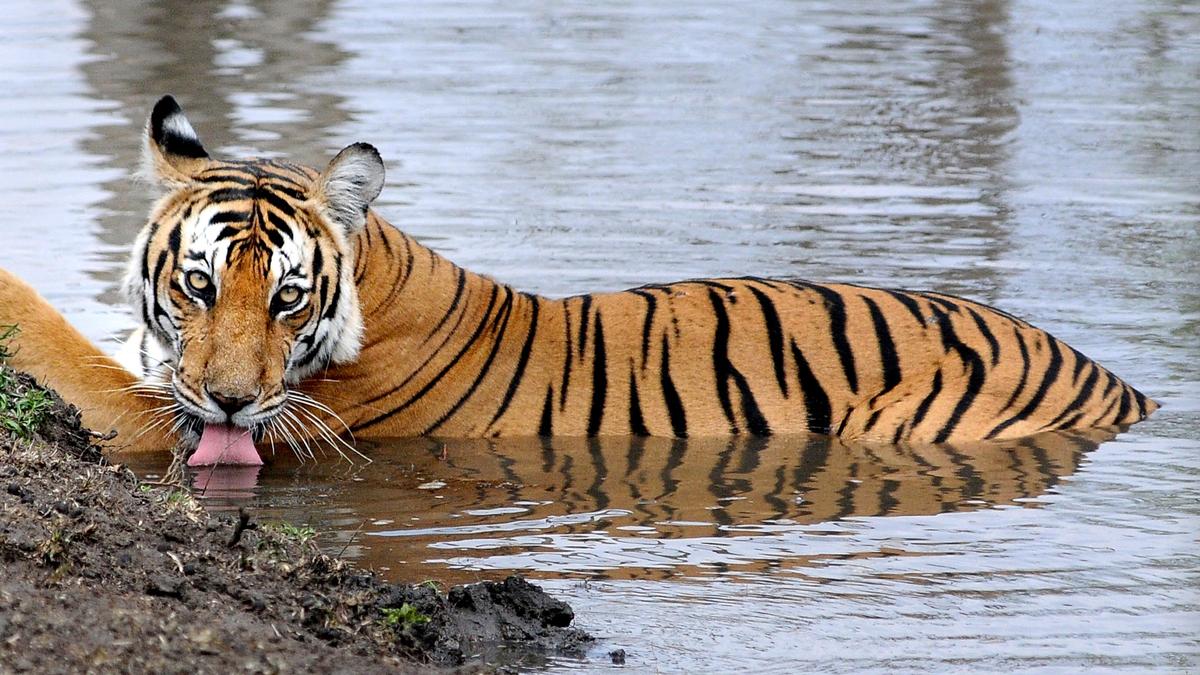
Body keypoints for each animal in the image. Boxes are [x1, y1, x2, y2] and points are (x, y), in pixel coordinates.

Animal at [0, 95, 1156, 465]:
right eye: (197, 286)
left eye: (287, 296)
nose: (235, 402)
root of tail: (1127, 389)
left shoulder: (164, 421)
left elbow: (52, 338)